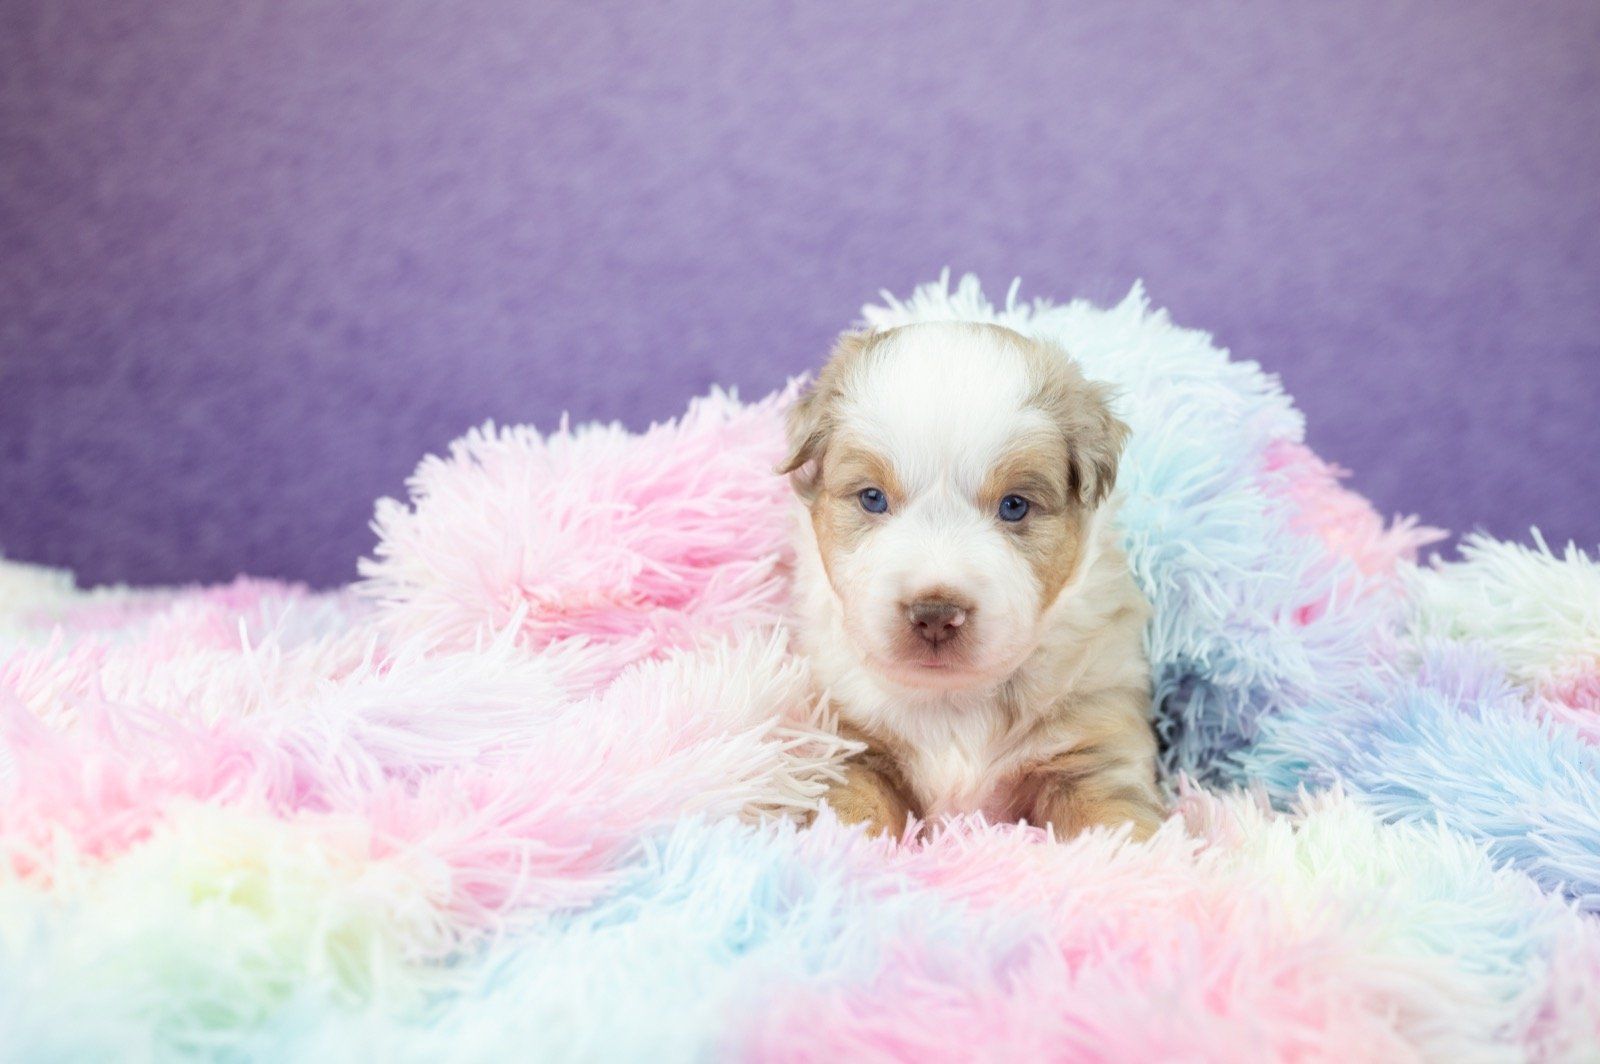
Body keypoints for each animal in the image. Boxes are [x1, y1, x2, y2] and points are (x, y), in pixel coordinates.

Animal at [779, 321, 1164, 841]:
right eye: (873, 498)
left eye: (1014, 505)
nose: (935, 614)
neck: (953, 701)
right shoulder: (852, 743)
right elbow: (852, 810)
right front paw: (837, 846)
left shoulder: (1092, 744)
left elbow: (1117, 823)